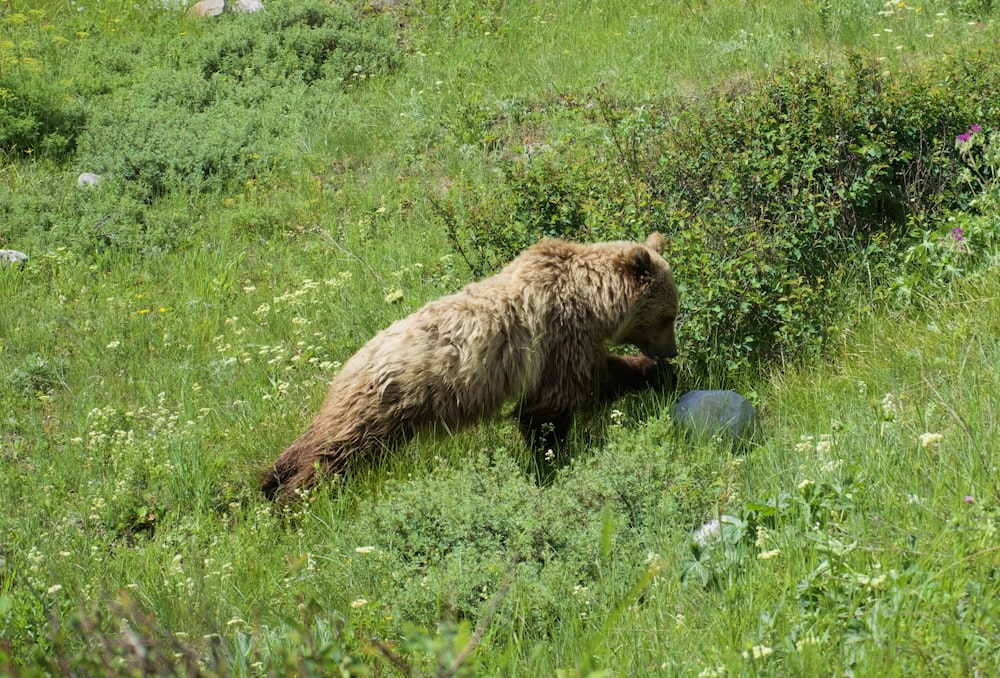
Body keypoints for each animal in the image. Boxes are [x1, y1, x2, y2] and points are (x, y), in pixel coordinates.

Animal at [258, 231, 680, 502]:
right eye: (669, 316)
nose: (672, 352)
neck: (593, 301)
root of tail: (348, 362)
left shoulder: (572, 343)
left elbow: (599, 376)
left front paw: (657, 374)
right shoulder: (558, 336)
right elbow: (551, 406)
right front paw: (551, 460)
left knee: (313, 441)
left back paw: (269, 483)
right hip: (381, 406)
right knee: (334, 453)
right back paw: (294, 501)